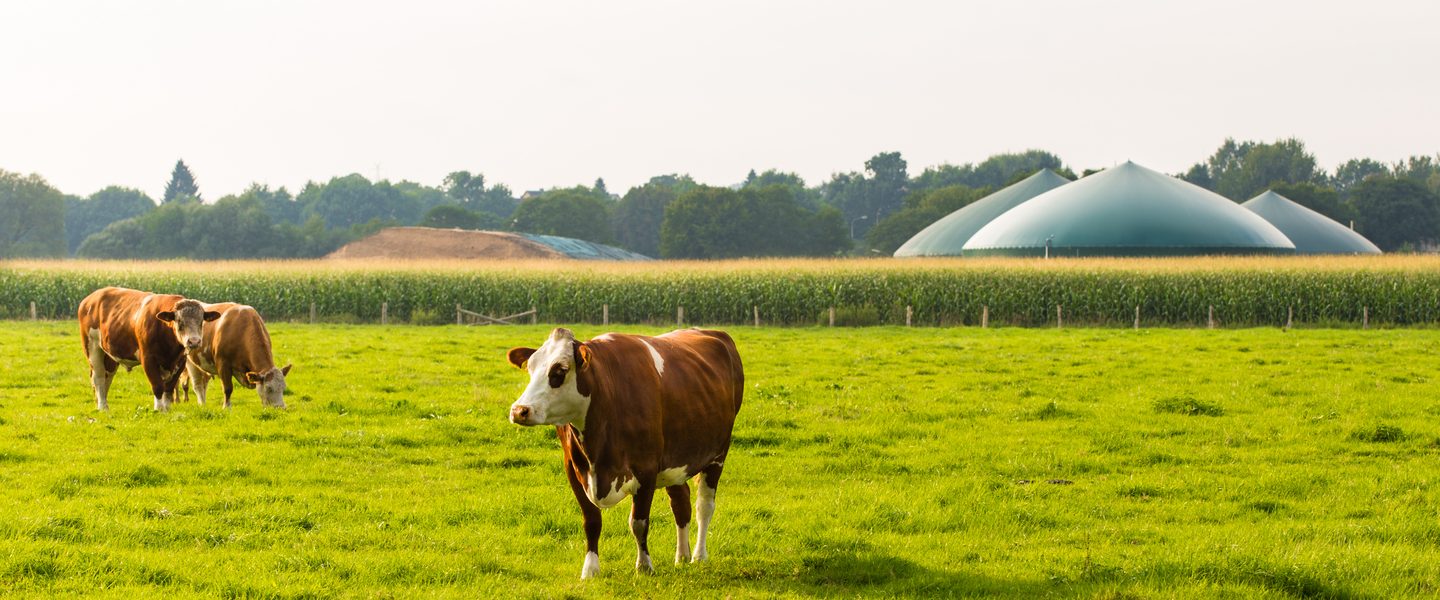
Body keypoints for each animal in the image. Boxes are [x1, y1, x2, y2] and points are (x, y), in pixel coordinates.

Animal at [78, 286, 218, 411]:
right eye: (179, 321)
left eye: (201, 321)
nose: (194, 341)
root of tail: (91, 297)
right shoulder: (148, 359)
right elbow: (158, 386)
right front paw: (158, 409)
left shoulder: (180, 362)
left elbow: (169, 388)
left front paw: (167, 409)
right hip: (92, 347)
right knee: (98, 377)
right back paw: (102, 407)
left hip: (109, 354)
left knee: (107, 376)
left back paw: (104, 405)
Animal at [506, 325, 743, 578]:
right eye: (530, 368)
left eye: (560, 370)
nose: (520, 410)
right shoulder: (574, 468)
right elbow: (591, 521)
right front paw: (590, 570)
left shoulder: (647, 469)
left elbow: (638, 522)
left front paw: (644, 566)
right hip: (676, 459)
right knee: (681, 503)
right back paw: (682, 556)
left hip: (718, 453)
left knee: (704, 506)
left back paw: (699, 555)